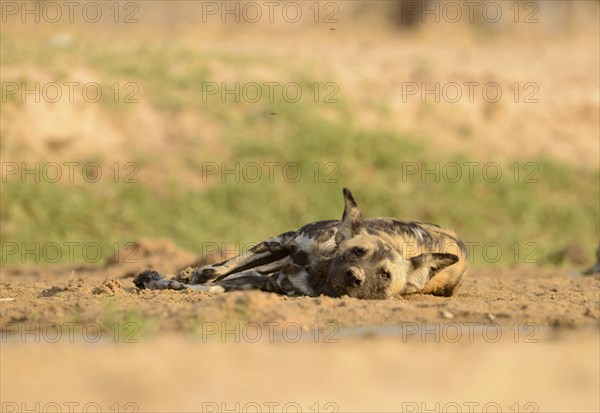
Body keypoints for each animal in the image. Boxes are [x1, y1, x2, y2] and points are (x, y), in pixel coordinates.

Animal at [134, 188, 466, 298]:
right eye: (357, 251)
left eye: (384, 274)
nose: (354, 277)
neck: (319, 270)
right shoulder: (282, 241)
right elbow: (214, 272)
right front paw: (160, 279)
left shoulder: (268, 283)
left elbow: (213, 286)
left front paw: (164, 283)